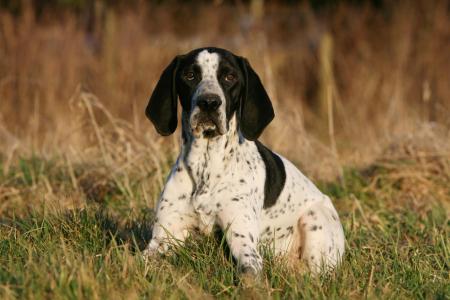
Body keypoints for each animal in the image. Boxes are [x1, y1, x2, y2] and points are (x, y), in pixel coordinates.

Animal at [143, 47, 344, 274]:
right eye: (190, 75)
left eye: (230, 77)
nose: (209, 102)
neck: (205, 166)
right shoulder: (162, 237)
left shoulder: (243, 242)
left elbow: (248, 273)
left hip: (314, 220)